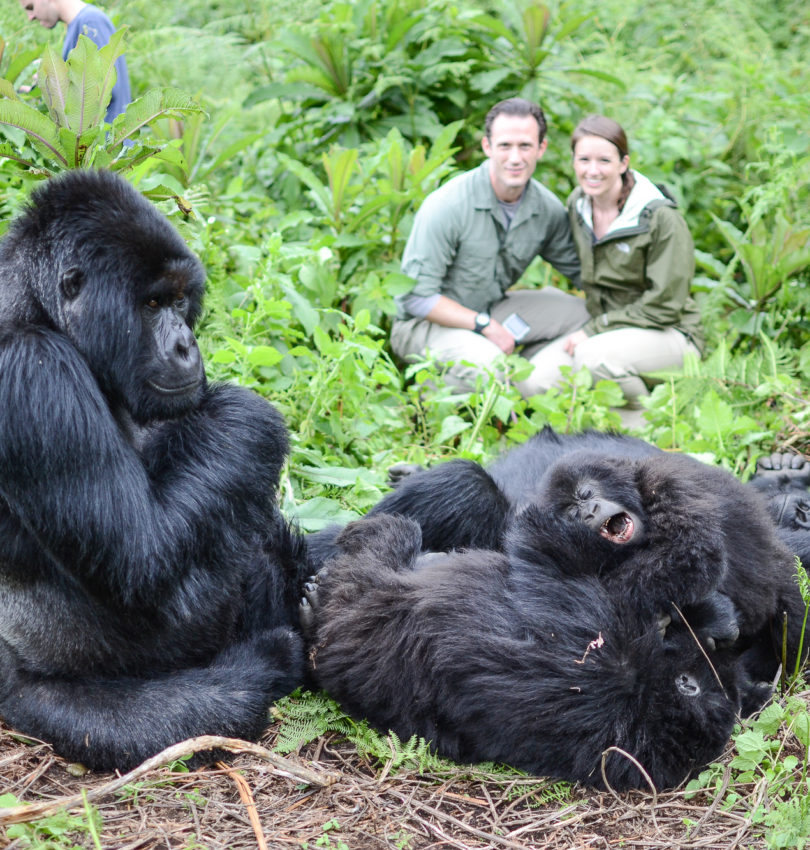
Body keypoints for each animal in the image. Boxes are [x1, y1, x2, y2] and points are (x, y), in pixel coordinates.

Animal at [0, 171, 308, 768]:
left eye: (180, 299)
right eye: (150, 303)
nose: (187, 345)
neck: (34, 303)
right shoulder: (32, 369)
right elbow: (141, 555)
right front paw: (248, 415)